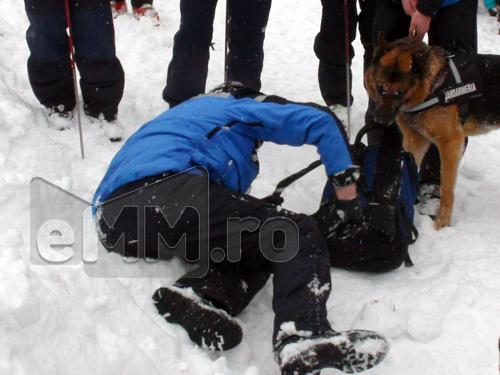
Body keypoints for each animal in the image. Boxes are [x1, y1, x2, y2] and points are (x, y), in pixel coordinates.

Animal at [364, 34, 500, 229]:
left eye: (400, 92)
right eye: (381, 87)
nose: (380, 120)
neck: (431, 88)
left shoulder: (451, 144)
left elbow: (446, 189)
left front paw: (442, 222)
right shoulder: (415, 140)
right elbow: (407, 171)